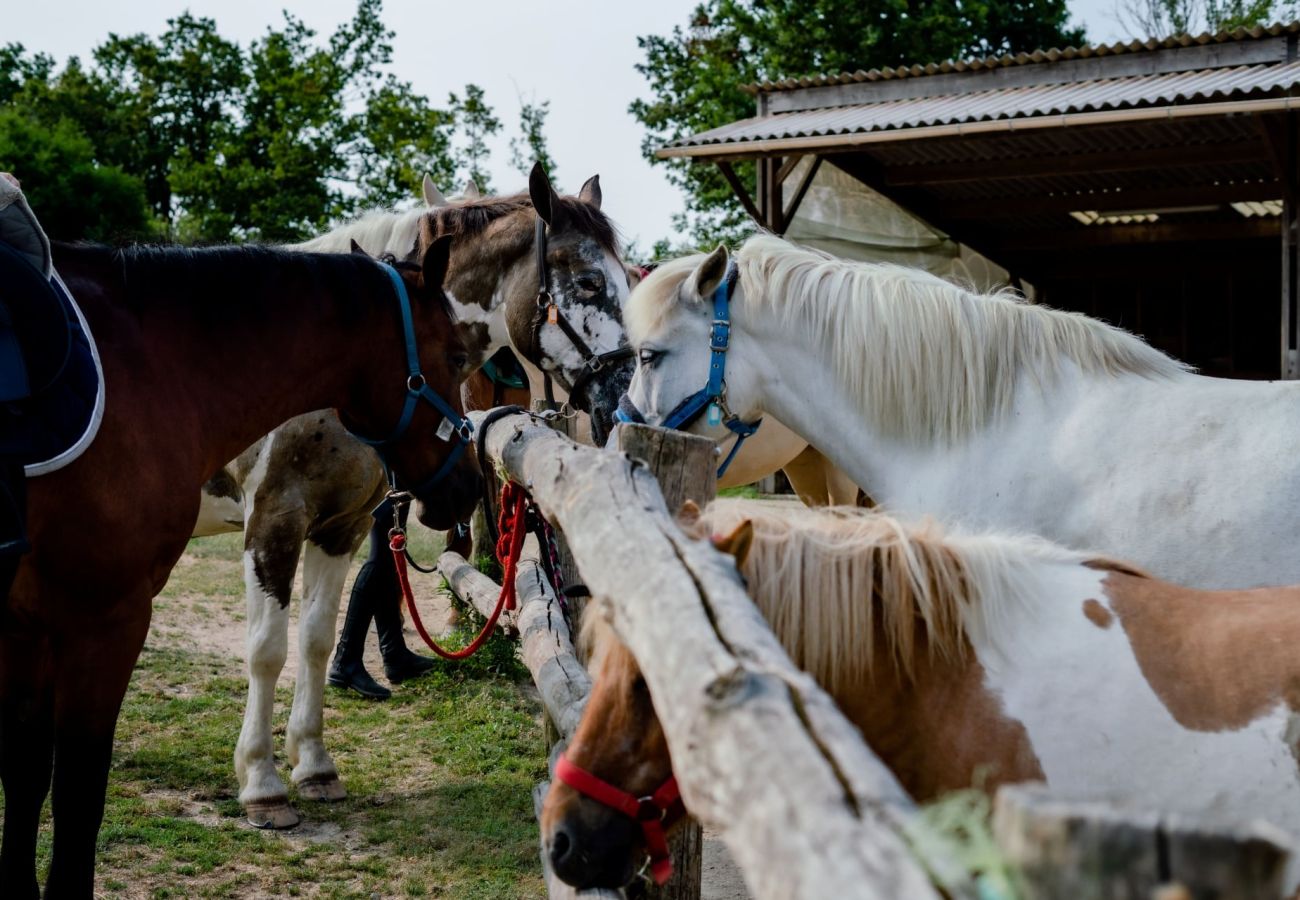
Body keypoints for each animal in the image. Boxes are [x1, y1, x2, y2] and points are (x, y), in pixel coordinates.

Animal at [1, 239, 483, 900]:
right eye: (458, 356)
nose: (469, 486)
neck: (156, 370)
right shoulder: (253, 535)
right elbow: (265, 653)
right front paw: (263, 786)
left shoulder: (341, 529)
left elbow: (315, 641)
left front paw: (314, 766)